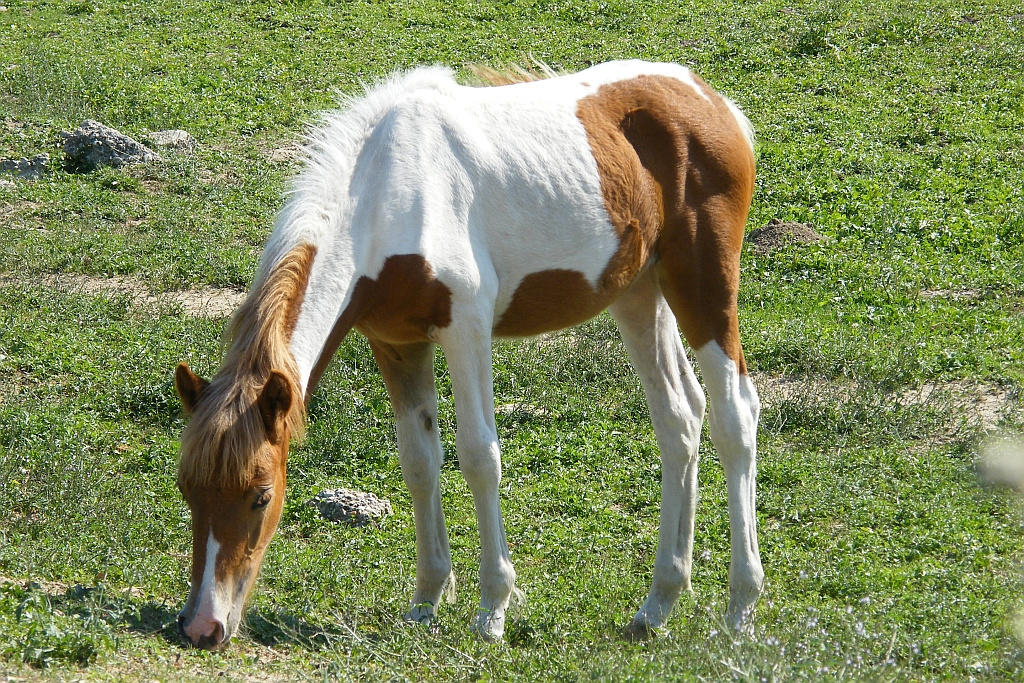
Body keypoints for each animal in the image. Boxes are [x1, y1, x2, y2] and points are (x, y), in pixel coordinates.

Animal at [172, 60, 761, 651]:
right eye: (186, 489)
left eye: (261, 495)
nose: (203, 627)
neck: (387, 194)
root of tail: (712, 100)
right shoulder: (398, 344)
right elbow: (419, 460)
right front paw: (426, 601)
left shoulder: (467, 328)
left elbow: (479, 456)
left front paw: (492, 609)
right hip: (639, 293)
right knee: (679, 417)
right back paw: (657, 605)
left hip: (703, 286)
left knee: (735, 414)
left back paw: (739, 608)